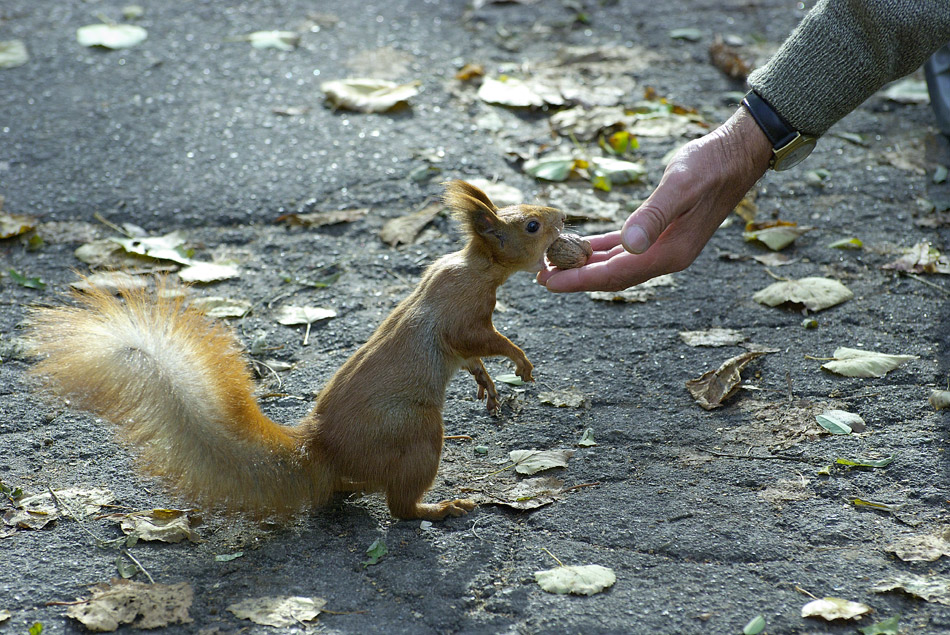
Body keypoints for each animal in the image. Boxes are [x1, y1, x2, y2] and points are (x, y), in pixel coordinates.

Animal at [26, 180, 564, 520]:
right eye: (532, 226)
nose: (563, 215)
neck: (475, 267)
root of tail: (320, 451)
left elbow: (472, 358)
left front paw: (486, 383)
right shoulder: (463, 314)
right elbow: (480, 340)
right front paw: (519, 361)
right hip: (416, 433)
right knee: (400, 508)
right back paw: (441, 508)